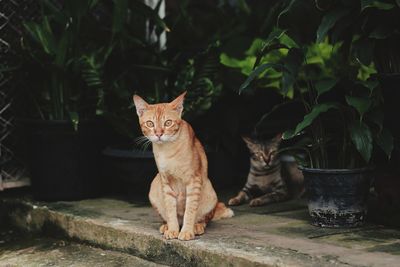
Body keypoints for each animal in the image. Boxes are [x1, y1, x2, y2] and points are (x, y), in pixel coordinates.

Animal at [133, 92, 233, 243]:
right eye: (150, 123)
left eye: (168, 122)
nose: (158, 134)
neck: (167, 151)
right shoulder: (165, 181)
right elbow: (170, 209)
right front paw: (172, 230)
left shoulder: (194, 180)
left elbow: (190, 210)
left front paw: (186, 231)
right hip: (154, 184)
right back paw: (166, 226)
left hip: (209, 190)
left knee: (204, 219)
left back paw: (197, 226)